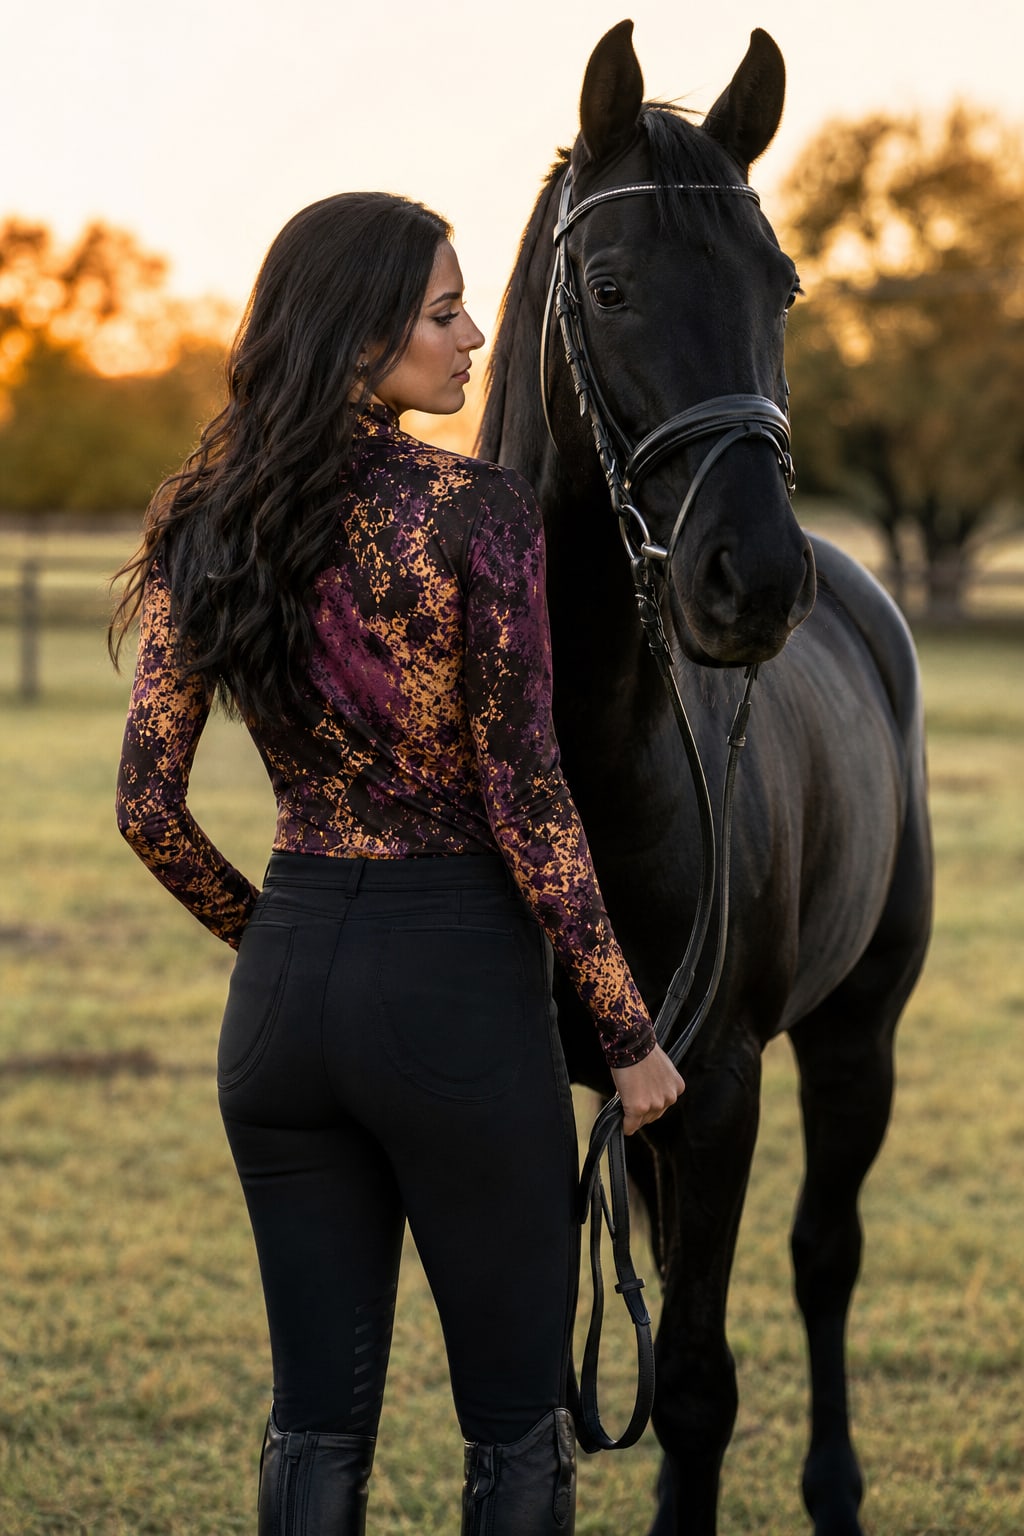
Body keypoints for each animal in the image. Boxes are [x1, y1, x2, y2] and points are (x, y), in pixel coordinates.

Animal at [478, 21, 933, 1536]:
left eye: (780, 283)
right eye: (611, 286)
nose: (756, 579)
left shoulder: (721, 1085)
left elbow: (691, 1385)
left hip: (854, 1037)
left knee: (825, 1257)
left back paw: (836, 1488)